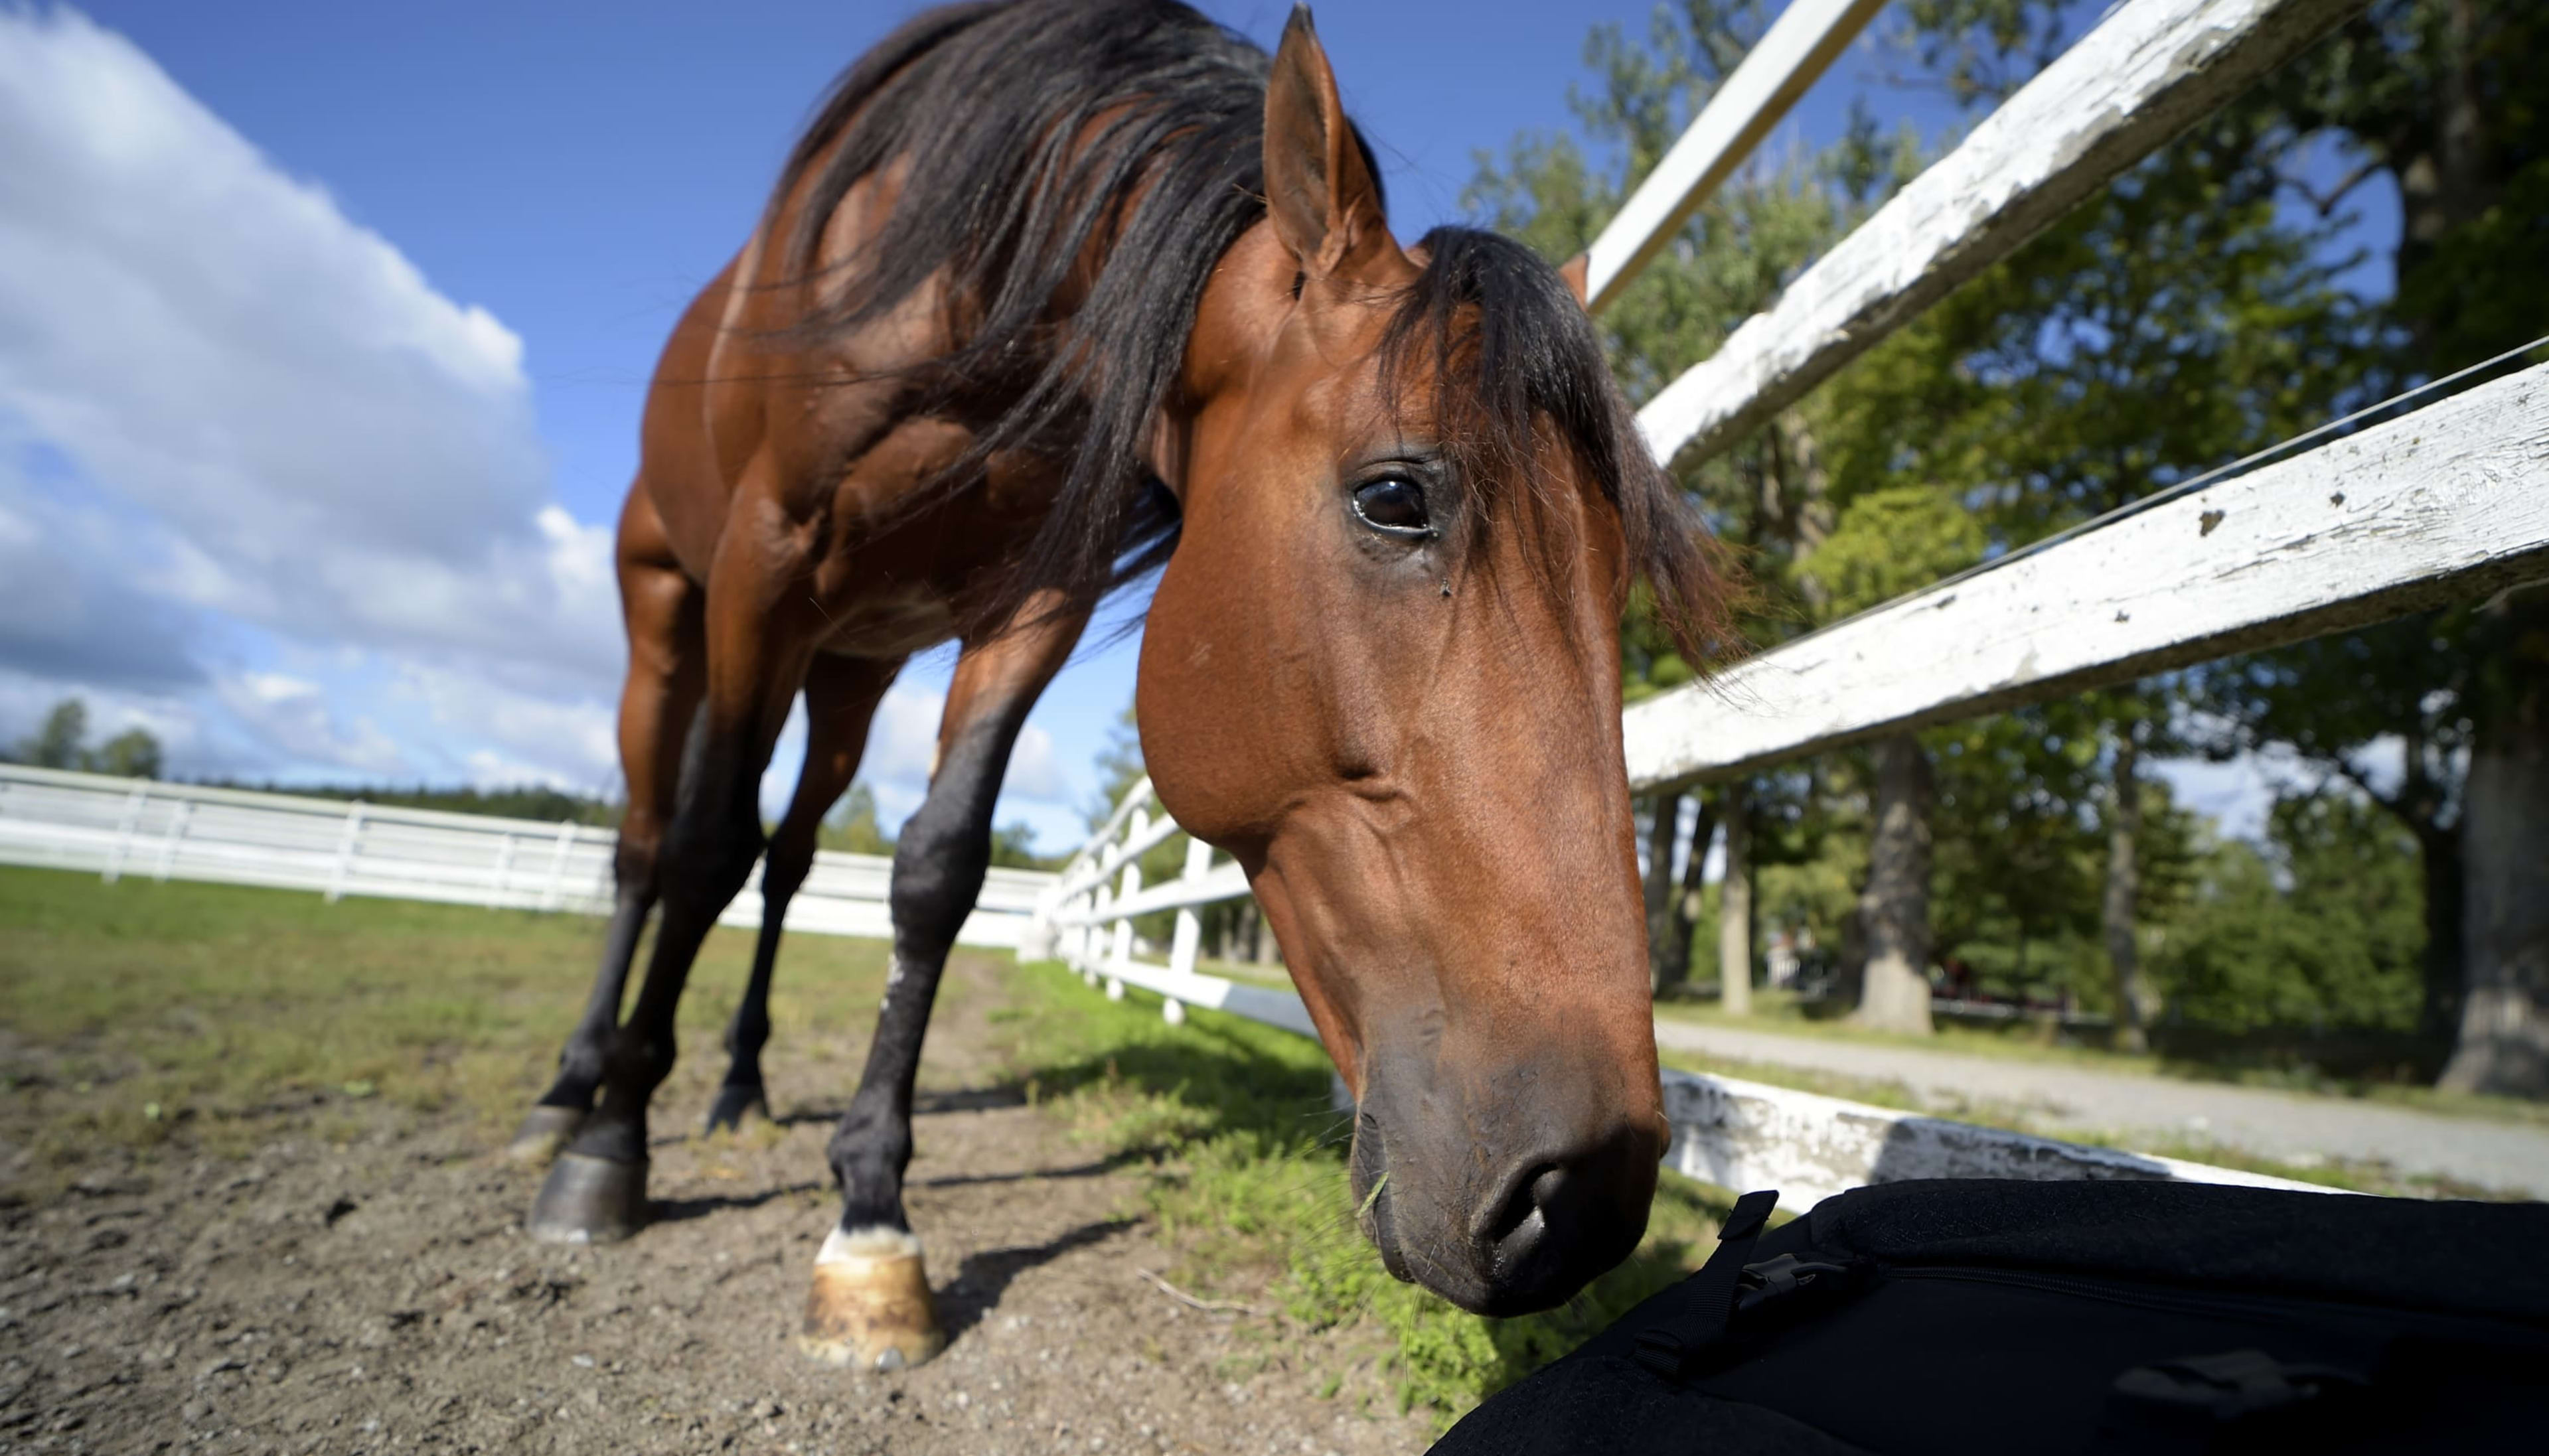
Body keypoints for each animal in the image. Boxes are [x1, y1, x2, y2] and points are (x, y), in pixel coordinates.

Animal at [504, 0, 1723, 1376]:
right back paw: (572, 1097)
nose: (1590, 1190)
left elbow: (936, 872)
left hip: (853, 671)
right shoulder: (766, 563)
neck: (983, 277)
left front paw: (871, 1220)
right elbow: (703, 845)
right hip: (676, 619)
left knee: (789, 859)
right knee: (653, 848)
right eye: (1396, 496)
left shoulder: (1036, 599)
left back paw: (738, 1086)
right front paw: (614, 1148)